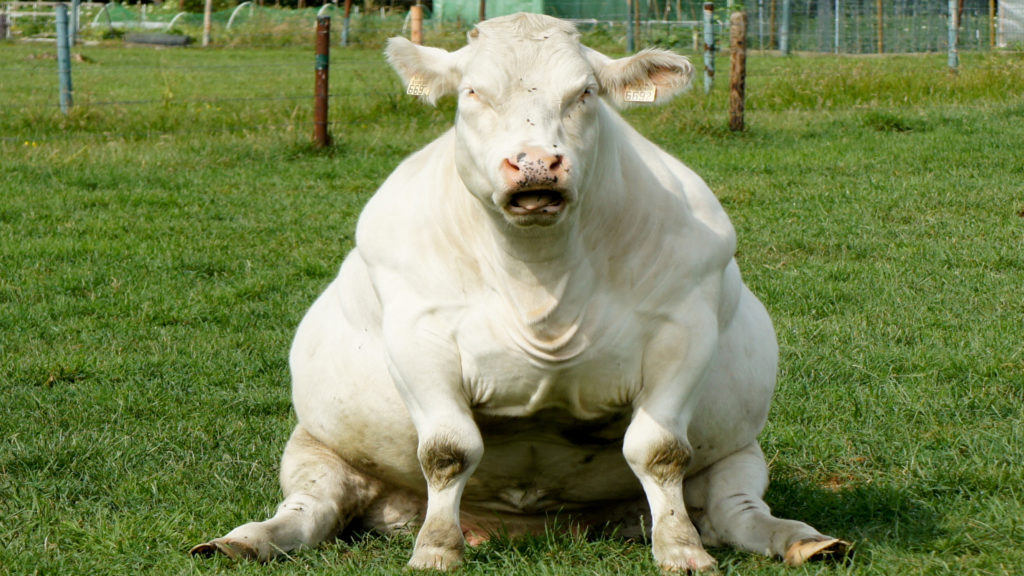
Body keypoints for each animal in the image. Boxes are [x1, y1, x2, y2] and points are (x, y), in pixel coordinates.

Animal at [190, 12, 847, 569]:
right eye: (473, 93)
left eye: (584, 93)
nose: (535, 164)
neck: (540, 278)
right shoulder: (418, 337)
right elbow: (447, 451)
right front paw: (436, 550)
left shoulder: (684, 331)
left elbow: (661, 451)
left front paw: (682, 551)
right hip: (316, 447)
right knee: (312, 510)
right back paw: (242, 541)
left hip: (739, 456)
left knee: (738, 511)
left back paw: (806, 541)